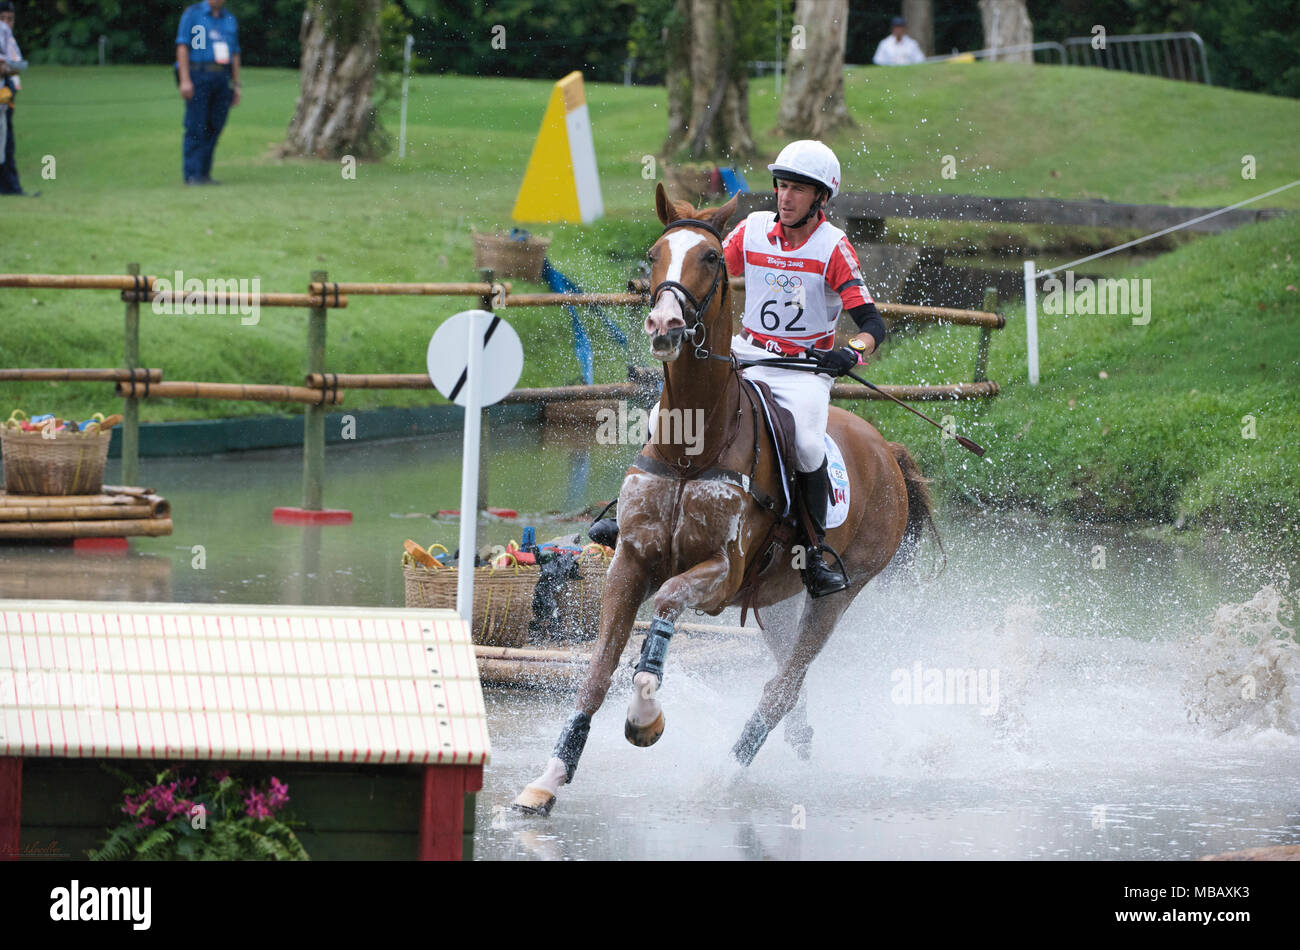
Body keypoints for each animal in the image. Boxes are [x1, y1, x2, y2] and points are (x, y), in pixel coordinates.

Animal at [509, 181, 935, 816]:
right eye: (654, 254)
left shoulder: (720, 572)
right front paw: (549, 777)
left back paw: (726, 775)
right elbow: (598, 670)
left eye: (710, 257)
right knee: (788, 678)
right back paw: (792, 743)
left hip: (838, 592)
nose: (663, 323)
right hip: (777, 597)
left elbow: (662, 615)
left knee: (784, 684)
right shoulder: (630, 559)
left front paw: (645, 719)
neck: (693, 443)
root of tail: (888, 449)